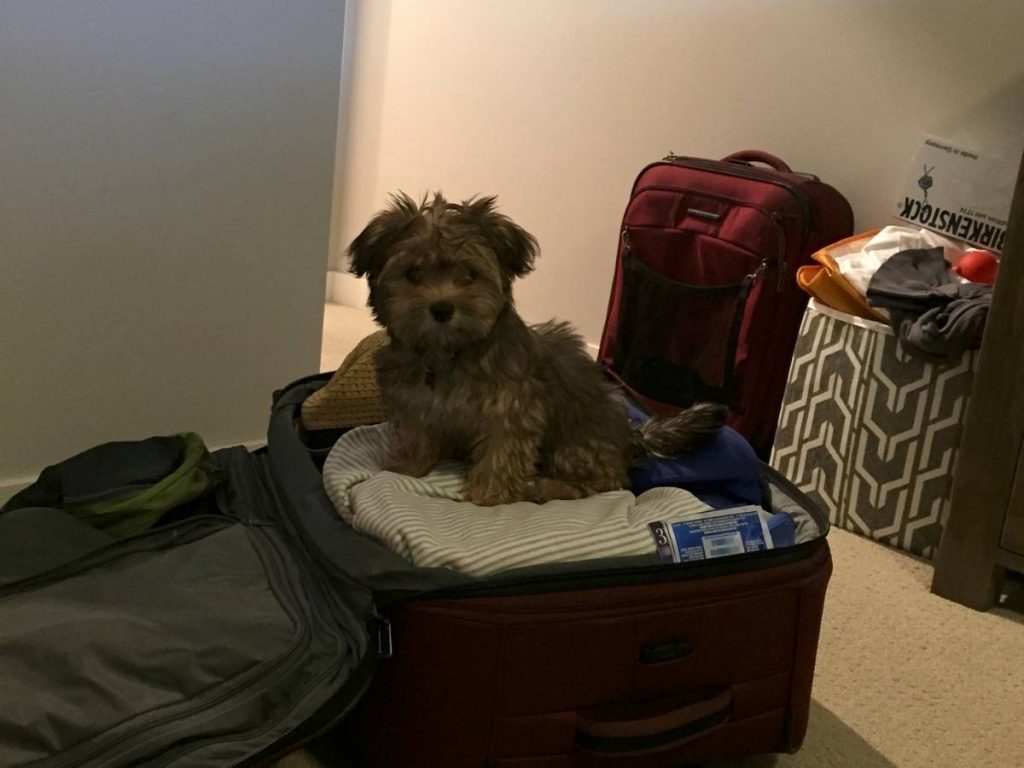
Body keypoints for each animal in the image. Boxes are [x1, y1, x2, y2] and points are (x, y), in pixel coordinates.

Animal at [352, 191, 729, 505]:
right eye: (413, 272)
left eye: (470, 274)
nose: (442, 308)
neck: (448, 353)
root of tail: (630, 435)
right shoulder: (412, 399)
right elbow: (414, 432)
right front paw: (406, 466)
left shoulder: (513, 407)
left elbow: (503, 450)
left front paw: (490, 493)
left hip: (577, 441)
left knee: (605, 482)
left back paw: (544, 486)